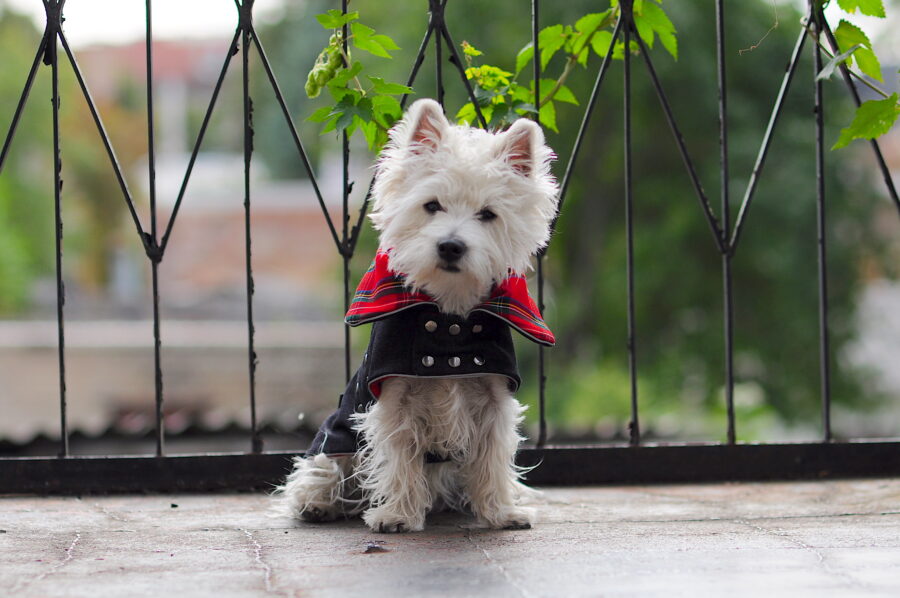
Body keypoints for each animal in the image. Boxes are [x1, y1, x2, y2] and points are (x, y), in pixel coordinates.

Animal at [276, 98, 556, 536]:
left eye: (488, 214)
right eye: (432, 205)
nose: (451, 246)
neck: (450, 319)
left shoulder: (493, 399)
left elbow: (492, 458)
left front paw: (501, 512)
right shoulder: (394, 400)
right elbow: (399, 458)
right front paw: (397, 515)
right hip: (334, 445)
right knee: (327, 473)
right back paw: (318, 504)